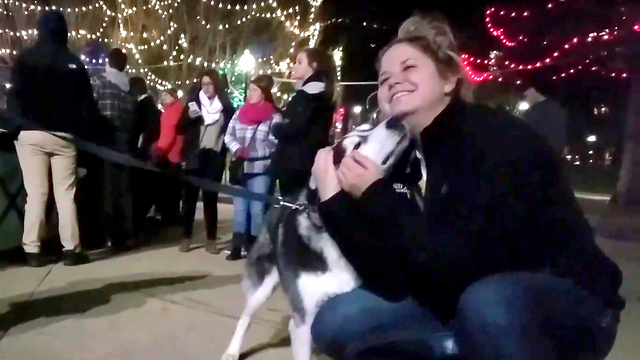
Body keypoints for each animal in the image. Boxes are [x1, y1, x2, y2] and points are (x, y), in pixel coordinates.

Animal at [220, 117, 420, 360]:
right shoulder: (304, 322)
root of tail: (282, 201)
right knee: (246, 315)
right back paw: (232, 351)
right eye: (356, 146)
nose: (394, 120)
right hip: (264, 286)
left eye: (367, 128)